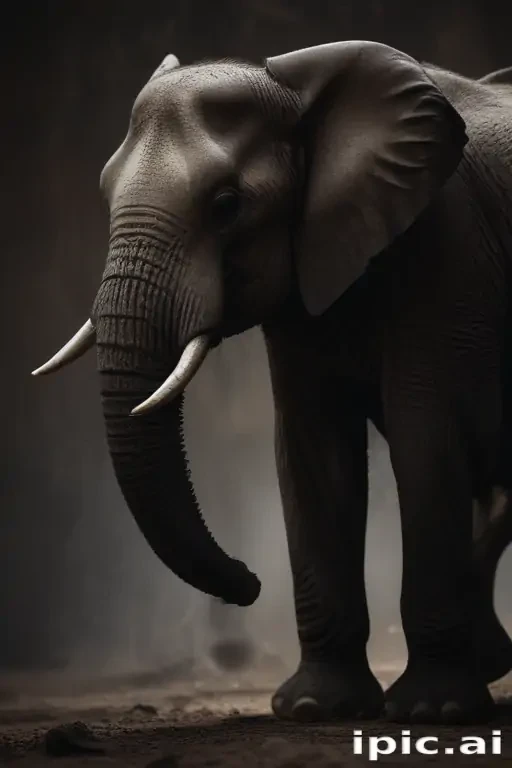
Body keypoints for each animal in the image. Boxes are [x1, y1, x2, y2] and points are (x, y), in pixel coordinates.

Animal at [32, 42, 512, 724]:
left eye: (226, 204)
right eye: (103, 191)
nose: (249, 582)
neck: (299, 96)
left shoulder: (445, 252)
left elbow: (426, 440)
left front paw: (432, 712)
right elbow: (313, 452)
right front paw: (317, 707)